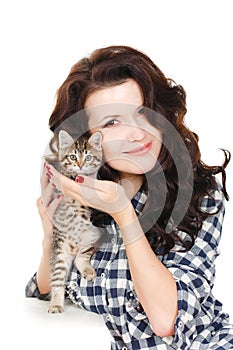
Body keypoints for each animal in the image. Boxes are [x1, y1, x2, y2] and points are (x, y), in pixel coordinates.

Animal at [44, 130, 103, 314]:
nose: (81, 165)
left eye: (88, 157)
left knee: (81, 255)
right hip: (60, 250)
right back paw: (56, 303)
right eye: (72, 156)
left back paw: (86, 268)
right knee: (58, 277)